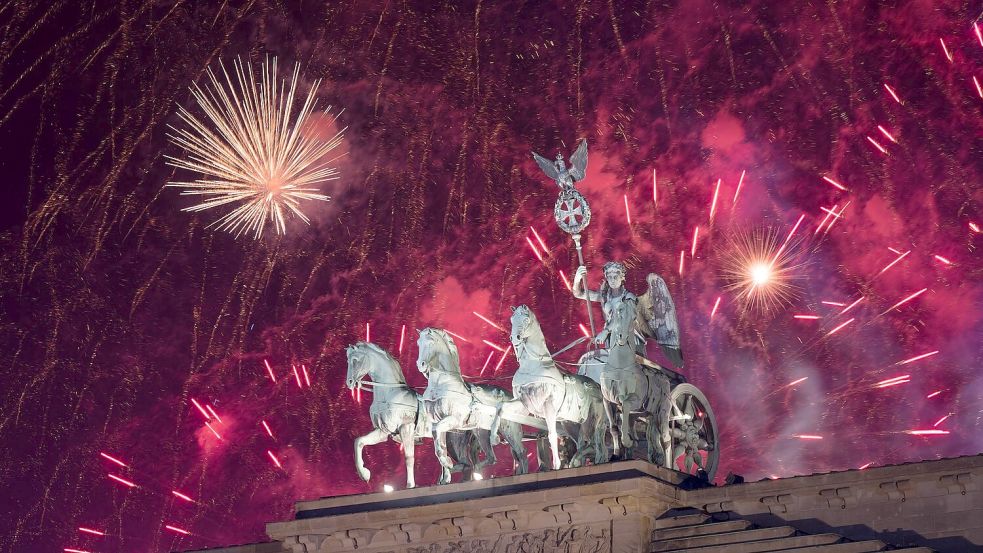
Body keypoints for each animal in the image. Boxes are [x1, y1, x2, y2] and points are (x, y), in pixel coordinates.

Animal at [416, 328, 528, 484]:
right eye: (418, 343)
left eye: (431, 341)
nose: (421, 364)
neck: (442, 383)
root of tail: (511, 396)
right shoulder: (439, 424)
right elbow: (439, 444)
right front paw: (446, 476)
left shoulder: (454, 420)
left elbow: (439, 439)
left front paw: (448, 466)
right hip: (480, 432)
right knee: (491, 458)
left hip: (509, 430)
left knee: (521, 453)